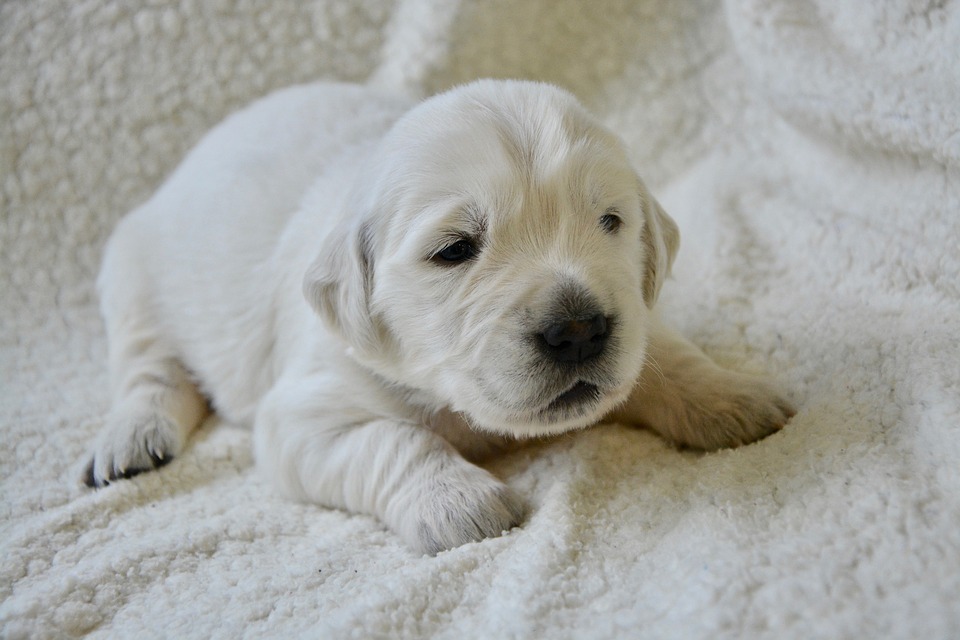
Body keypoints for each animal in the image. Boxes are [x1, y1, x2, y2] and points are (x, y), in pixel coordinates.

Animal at [86, 81, 796, 556]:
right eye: (455, 249)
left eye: (610, 221)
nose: (578, 331)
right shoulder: (302, 414)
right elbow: (397, 440)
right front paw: (460, 502)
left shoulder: (634, 321)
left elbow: (663, 355)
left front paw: (731, 395)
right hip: (131, 276)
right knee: (148, 370)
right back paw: (131, 438)